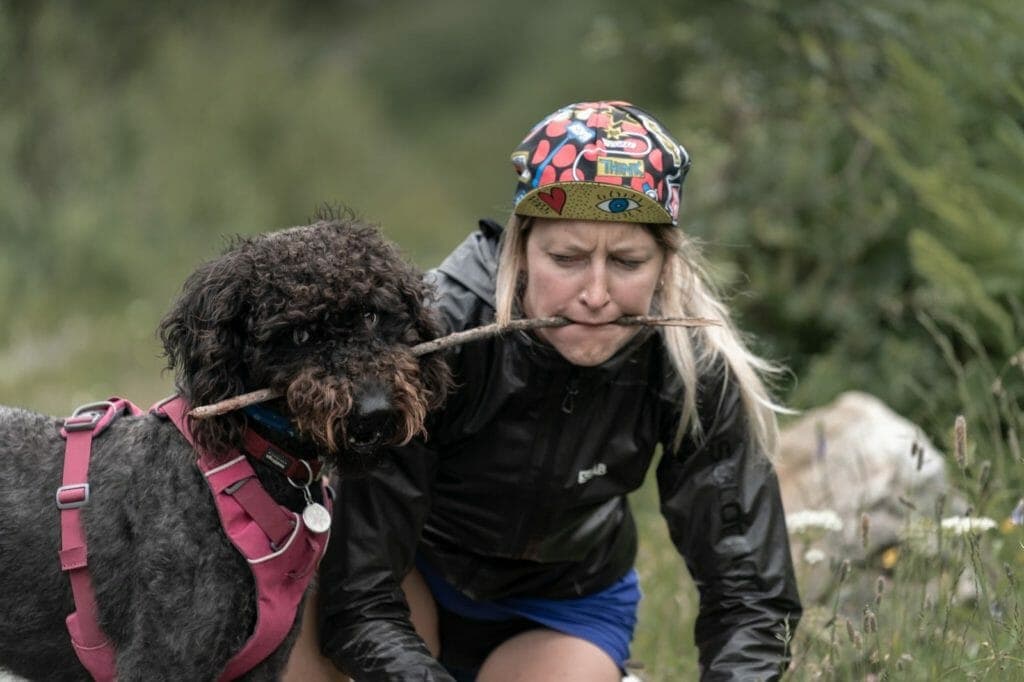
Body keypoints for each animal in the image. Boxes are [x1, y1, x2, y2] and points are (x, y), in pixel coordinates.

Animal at [0, 209, 452, 675]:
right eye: (299, 336)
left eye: (371, 315)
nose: (373, 413)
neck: (249, 462)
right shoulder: (161, 659)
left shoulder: (264, 666)